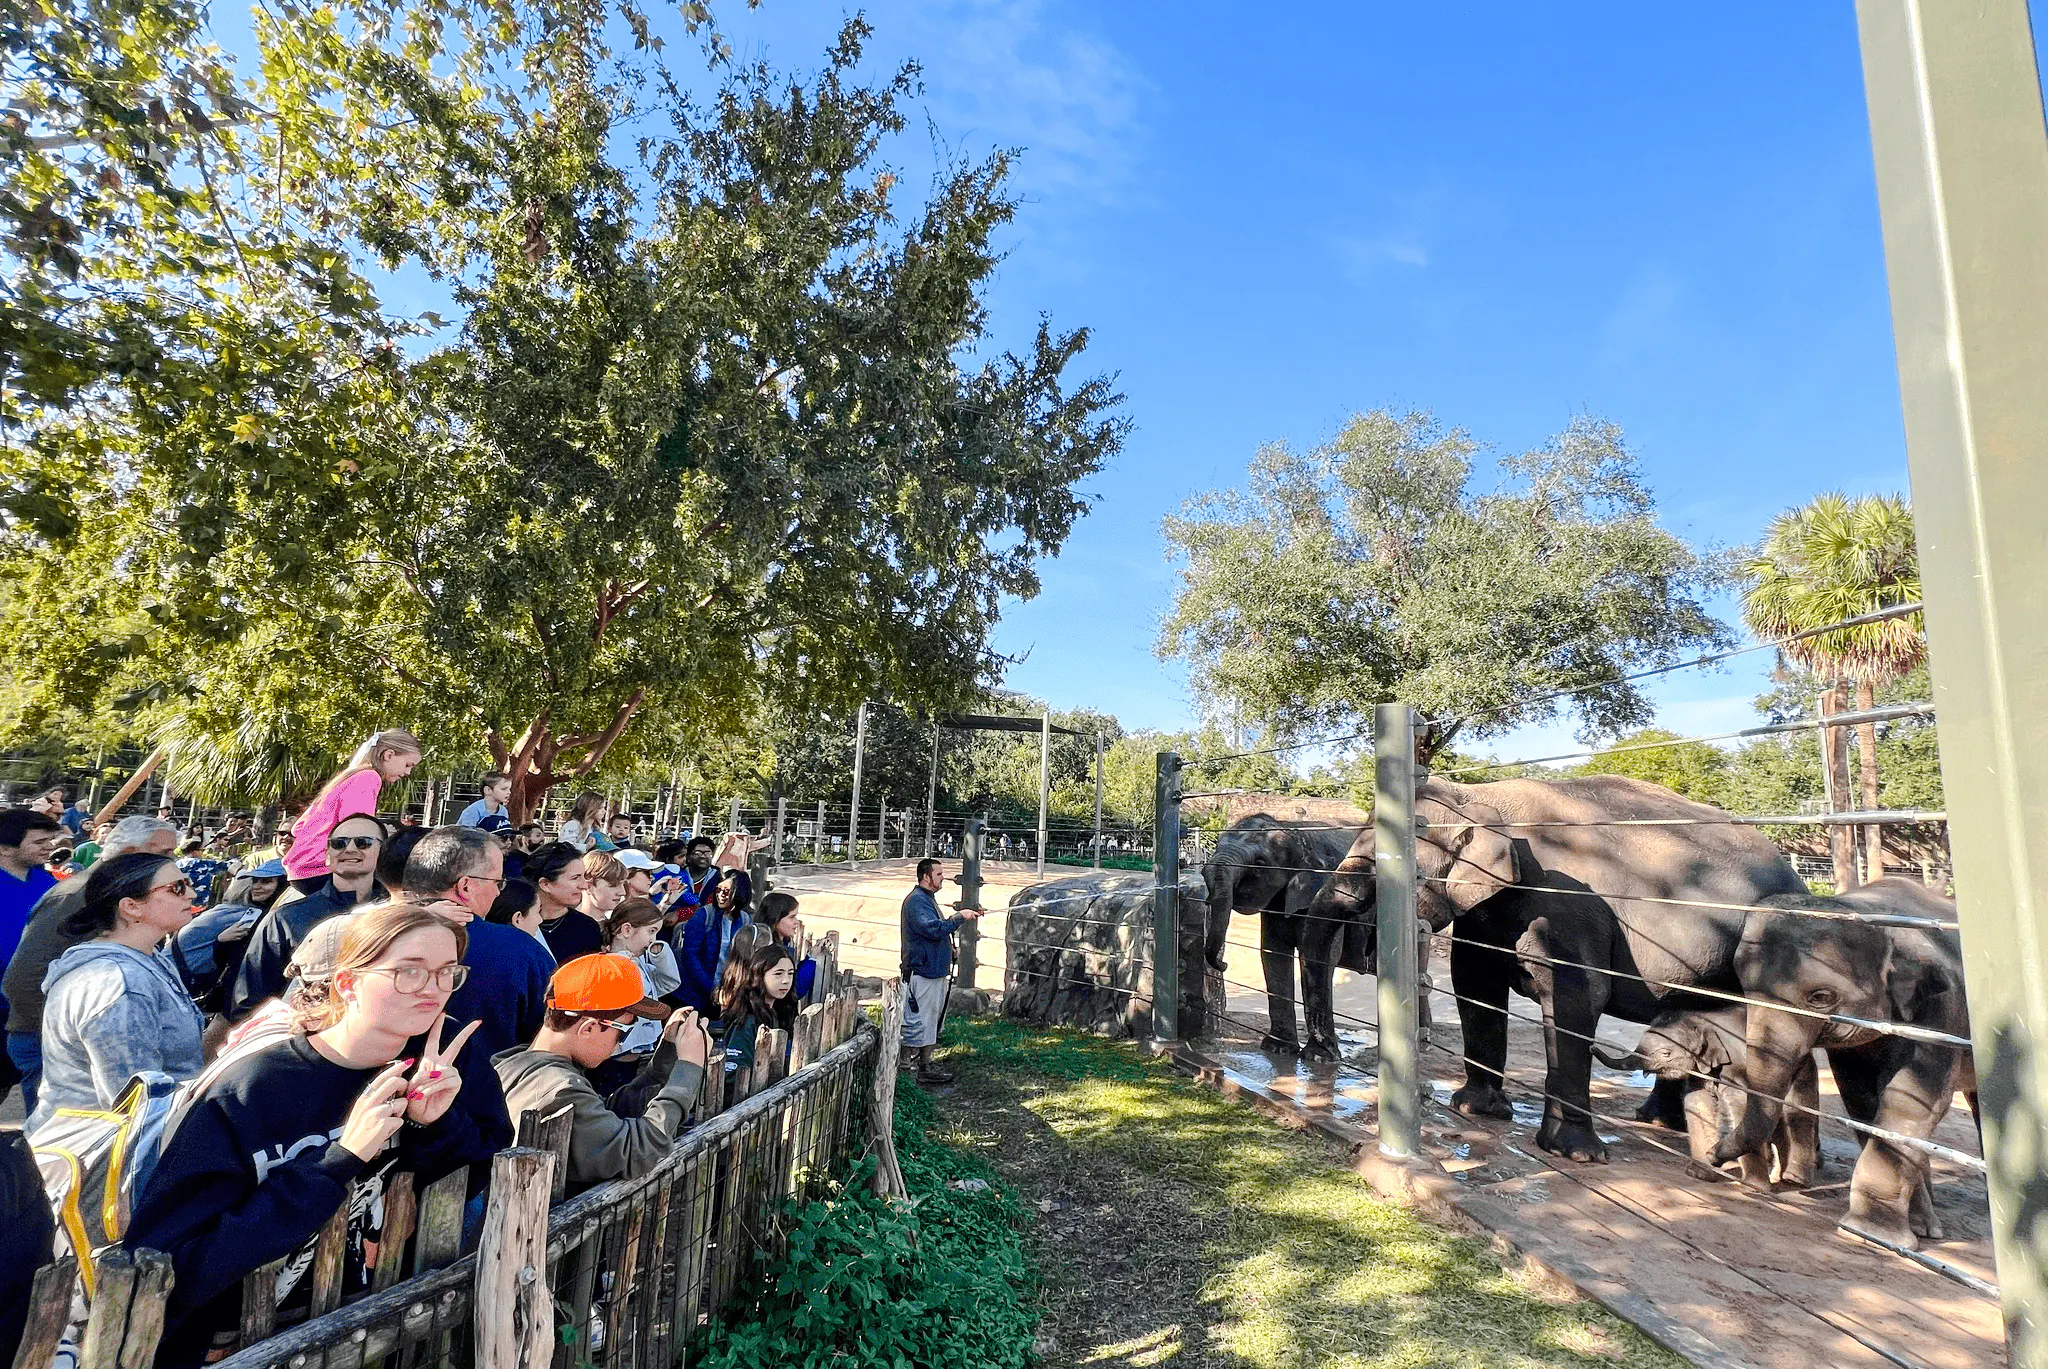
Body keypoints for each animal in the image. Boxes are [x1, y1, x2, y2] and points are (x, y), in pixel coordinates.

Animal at [1299, 774, 1808, 1162]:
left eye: (1380, 871)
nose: (1322, 1054)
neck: (1479, 794)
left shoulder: (1568, 906)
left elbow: (1576, 995)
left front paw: (1574, 1154)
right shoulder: (1490, 911)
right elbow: (1474, 983)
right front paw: (1475, 1111)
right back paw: (1660, 1122)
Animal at [1592, 1005, 1818, 1188]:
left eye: (1666, 1054)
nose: (1592, 1046)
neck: (1703, 1021)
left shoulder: (1735, 1067)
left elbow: (1741, 1104)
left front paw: (1754, 1185)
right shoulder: (1701, 1068)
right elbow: (1697, 1102)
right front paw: (1700, 1172)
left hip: (1799, 1069)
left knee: (1793, 1112)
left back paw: (1792, 1179)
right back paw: (1781, 1177)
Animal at [1712, 879, 1975, 1251]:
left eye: (1820, 998)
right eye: (1743, 987)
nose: (1713, 1155)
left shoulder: (1943, 1009)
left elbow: (1911, 1100)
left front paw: (1873, 1234)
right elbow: (1861, 1102)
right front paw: (1903, 1229)